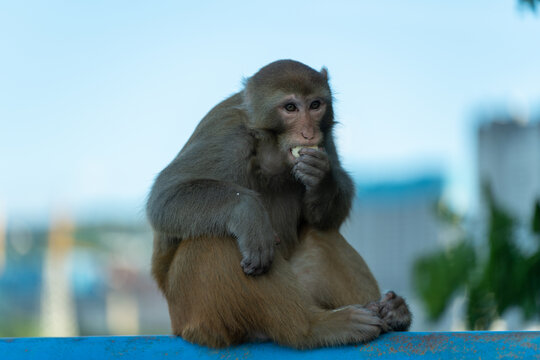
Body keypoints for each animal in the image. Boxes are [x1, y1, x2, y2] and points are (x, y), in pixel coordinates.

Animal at [146, 59, 412, 348]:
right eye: (290, 108)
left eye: (315, 105)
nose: (308, 133)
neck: (271, 149)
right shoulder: (226, 136)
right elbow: (165, 198)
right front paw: (249, 213)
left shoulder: (326, 137)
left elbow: (328, 216)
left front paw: (322, 179)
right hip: (196, 314)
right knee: (214, 240)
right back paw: (314, 328)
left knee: (319, 235)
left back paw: (392, 312)